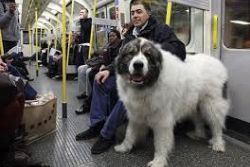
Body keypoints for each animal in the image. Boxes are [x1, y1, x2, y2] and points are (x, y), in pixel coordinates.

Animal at [114, 37, 229, 167]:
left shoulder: (162, 121)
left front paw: (158, 161)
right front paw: (124, 147)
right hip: (193, 104)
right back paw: (197, 134)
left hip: (212, 105)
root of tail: (216, 62)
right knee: (198, 120)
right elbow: (130, 133)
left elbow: (160, 143)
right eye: (131, 53)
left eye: (148, 55)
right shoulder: (136, 114)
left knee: (216, 125)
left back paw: (218, 143)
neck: (147, 85)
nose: (138, 64)